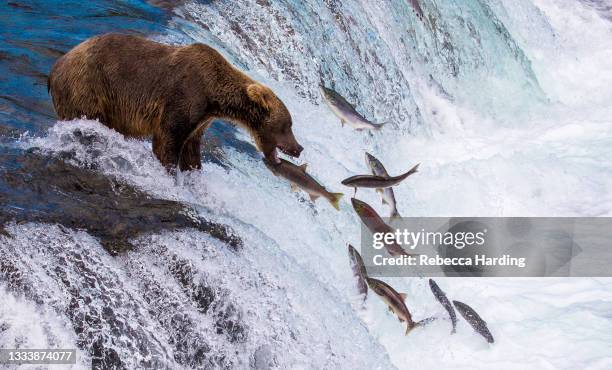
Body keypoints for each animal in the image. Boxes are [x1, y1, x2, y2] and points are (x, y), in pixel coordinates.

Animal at [47, 33, 304, 171]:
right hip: (88, 87)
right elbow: (167, 141)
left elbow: (191, 150)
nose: (299, 148)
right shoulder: (185, 96)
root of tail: (56, 67)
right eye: (288, 125)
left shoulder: (201, 119)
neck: (214, 96)